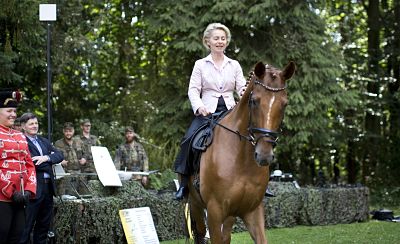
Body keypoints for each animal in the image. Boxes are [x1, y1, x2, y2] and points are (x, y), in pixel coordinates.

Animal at [187, 61, 294, 244]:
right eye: (254, 101)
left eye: (284, 104)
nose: (264, 155)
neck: (241, 160)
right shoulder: (214, 212)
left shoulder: (252, 210)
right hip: (196, 205)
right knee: (200, 234)